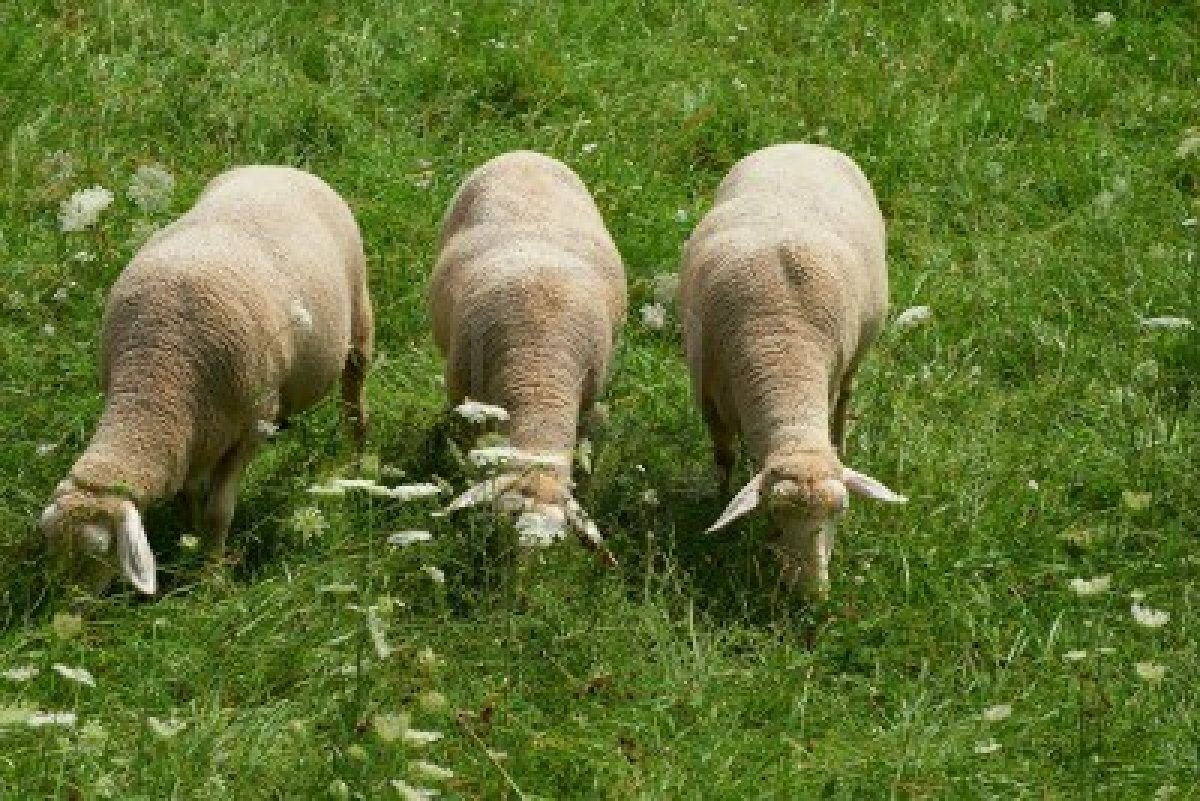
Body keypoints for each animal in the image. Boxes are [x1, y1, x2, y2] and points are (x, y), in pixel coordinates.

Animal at [40, 165, 374, 594]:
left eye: (98, 553)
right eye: (52, 547)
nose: (68, 605)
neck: (158, 374)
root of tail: (279, 168)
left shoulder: (252, 426)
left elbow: (218, 511)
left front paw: (211, 577)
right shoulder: (187, 439)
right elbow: (188, 497)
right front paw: (190, 542)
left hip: (359, 321)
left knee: (354, 404)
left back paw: (357, 466)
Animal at [680, 143, 906, 598]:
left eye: (842, 513)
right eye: (775, 515)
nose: (812, 593)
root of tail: (803, 144)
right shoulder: (709, 395)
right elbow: (724, 458)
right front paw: (721, 500)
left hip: (858, 352)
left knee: (846, 397)